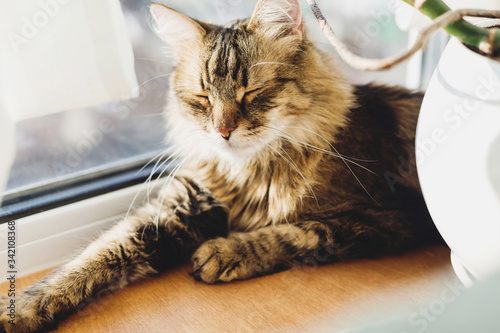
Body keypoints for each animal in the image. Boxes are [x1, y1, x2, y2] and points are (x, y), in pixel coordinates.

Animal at [1, 0, 444, 330]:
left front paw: (225, 252)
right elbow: (93, 256)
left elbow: (300, 232)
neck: (248, 174)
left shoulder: (389, 216)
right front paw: (20, 310)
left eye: (252, 92)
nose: (222, 131)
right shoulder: (180, 206)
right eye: (203, 98)